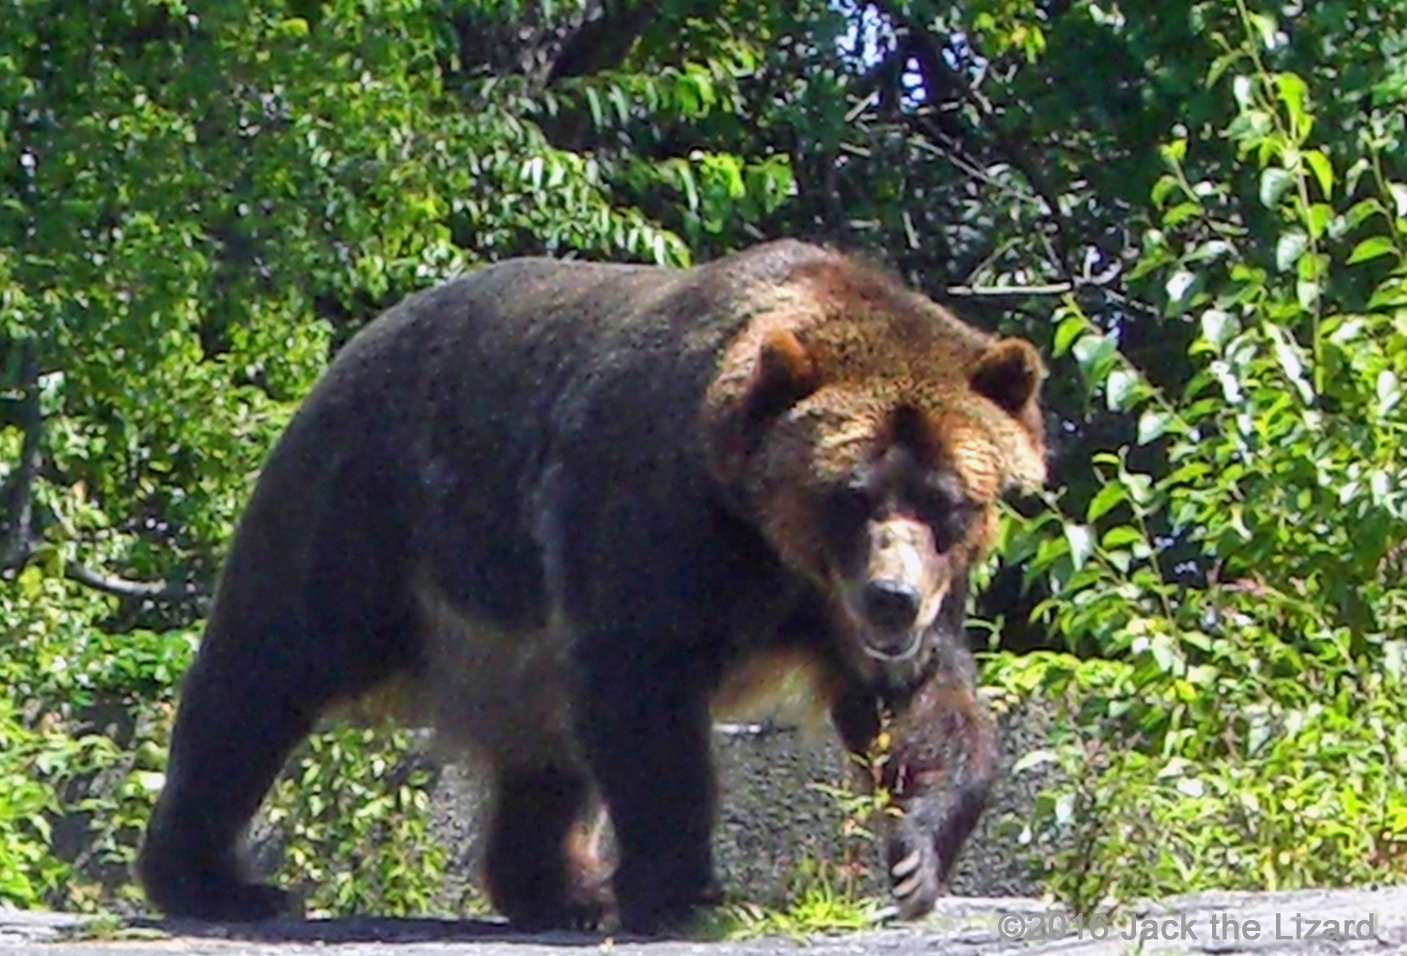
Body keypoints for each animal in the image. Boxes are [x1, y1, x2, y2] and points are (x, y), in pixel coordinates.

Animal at [137, 237, 1052, 934]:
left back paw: (557, 891)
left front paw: (914, 858)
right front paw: (680, 888)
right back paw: (214, 879)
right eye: (850, 494)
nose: (891, 597)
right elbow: (644, 697)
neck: (765, 537)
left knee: (544, 758)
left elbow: (921, 702)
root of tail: (356, 344)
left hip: (511, 638)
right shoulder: (655, 517)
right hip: (367, 515)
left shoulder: (856, 603)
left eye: (944, 500)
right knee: (262, 673)